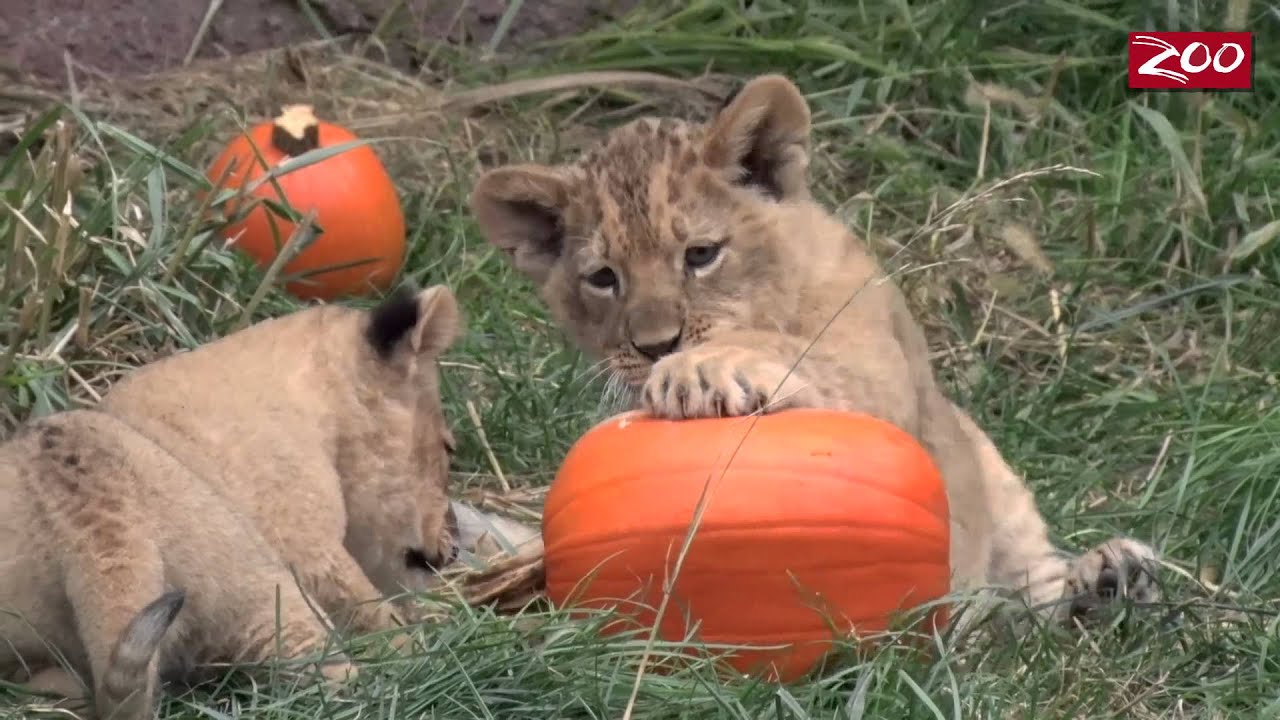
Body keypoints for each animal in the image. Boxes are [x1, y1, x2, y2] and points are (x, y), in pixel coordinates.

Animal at [0, 284, 466, 720]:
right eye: (448, 448)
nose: (455, 547)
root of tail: (84, 512)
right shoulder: (308, 545)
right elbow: (372, 614)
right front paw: (424, 644)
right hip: (259, 590)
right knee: (337, 677)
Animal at [468, 74, 1160, 634]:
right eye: (603, 278)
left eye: (701, 254)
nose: (656, 345)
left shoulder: (887, 376)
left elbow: (805, 352)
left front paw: (700, 370)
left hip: (996, 481)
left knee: (1035, 604)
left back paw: (1109, 579)